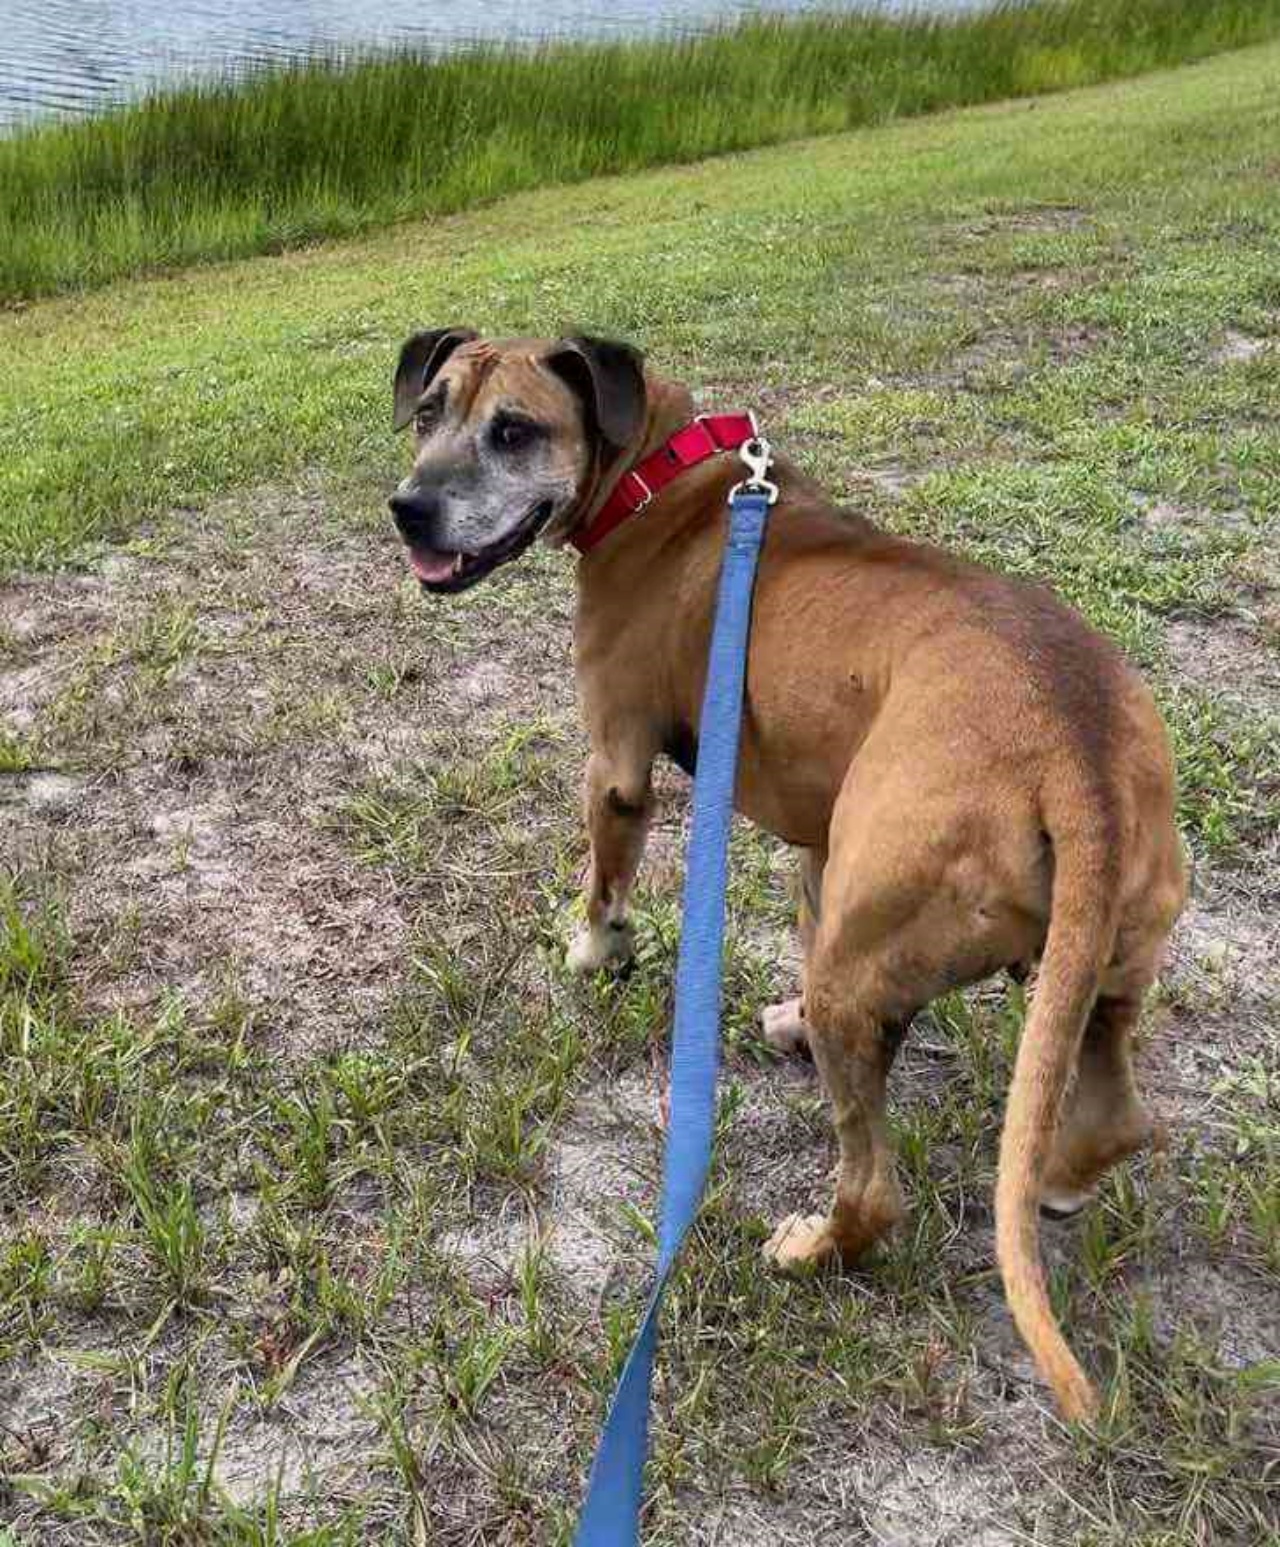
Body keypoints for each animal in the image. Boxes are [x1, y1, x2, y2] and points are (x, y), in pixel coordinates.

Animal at [388, 332, 1188, 1417]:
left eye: (513, 430)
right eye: (429, 410)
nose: (409, 507)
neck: (656, 471)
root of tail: (1078, 747)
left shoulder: (615, 765)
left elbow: (604, 882)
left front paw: (593, 951)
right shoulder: (819, 838)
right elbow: (805, 894)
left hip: (868, 976)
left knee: (873, 1188)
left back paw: (814, 1247)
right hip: (1093, 967)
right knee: (1114, 1110)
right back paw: (1055, 1171)